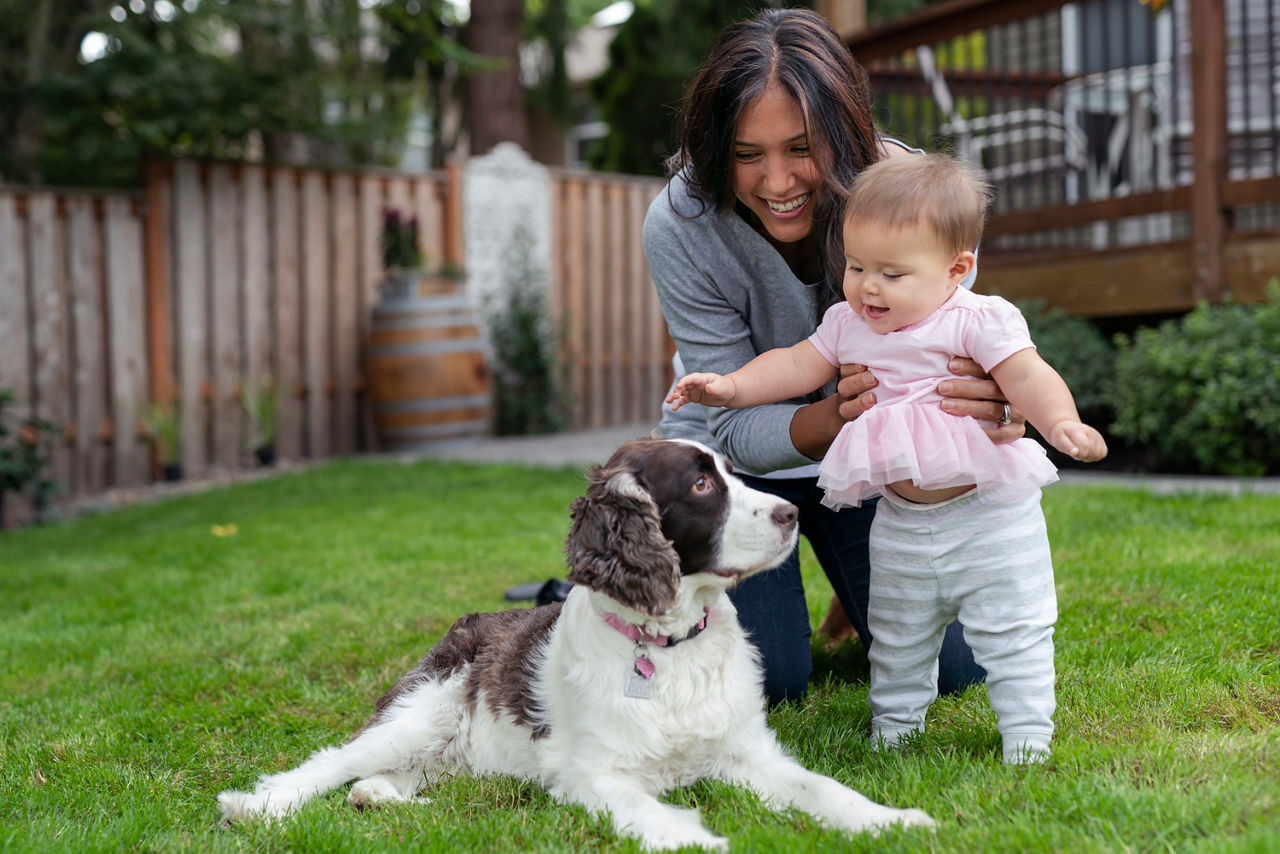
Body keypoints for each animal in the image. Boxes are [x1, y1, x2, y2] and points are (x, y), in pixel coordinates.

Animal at [217, 437, 931, 850]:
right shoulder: (590, 770)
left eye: (735, 474)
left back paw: (378, 796)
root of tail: (469, 622)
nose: (792, 514)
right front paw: (697, 839)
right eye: (701, 485)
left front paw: (892, 820)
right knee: (331, 762)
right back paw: (256, 807)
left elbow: (821, 789)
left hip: (449, 751)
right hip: (424, 709)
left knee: (392, 776)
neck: (669, 644)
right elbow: (648, 808)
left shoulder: (745, 750)